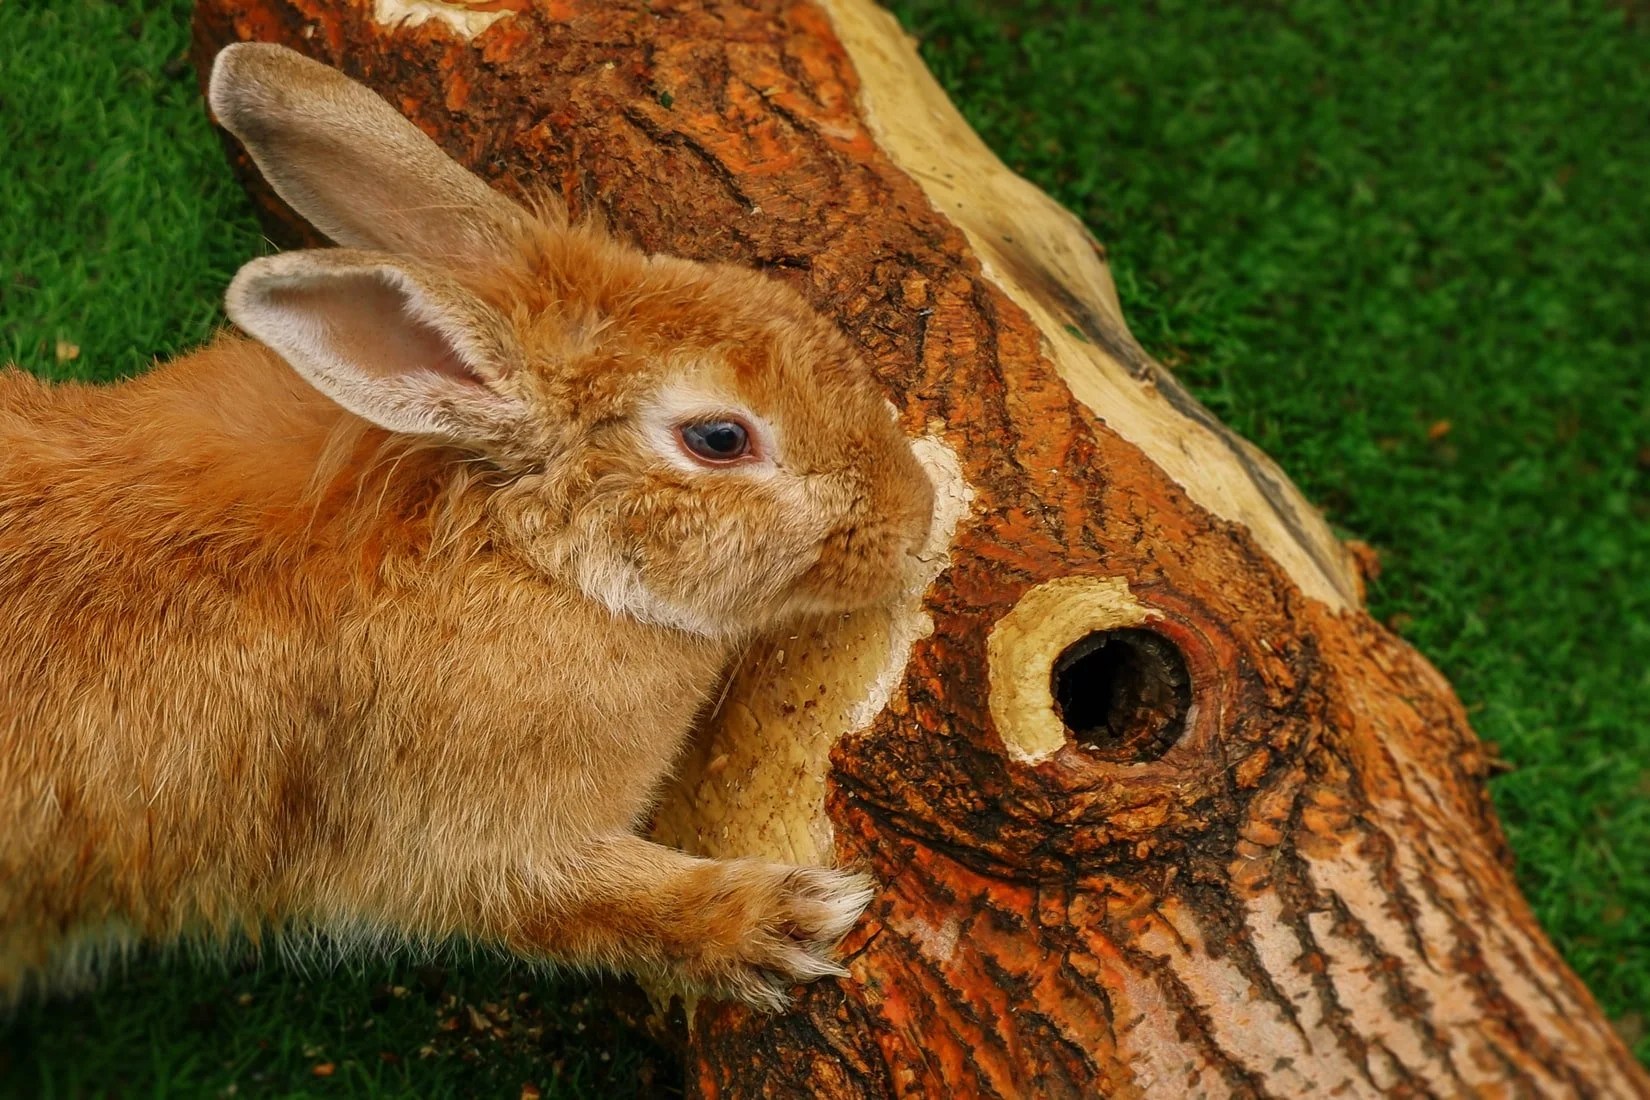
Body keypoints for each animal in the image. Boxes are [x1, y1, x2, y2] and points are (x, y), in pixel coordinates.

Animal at [0, 42, 935, 1011]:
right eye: (719, 439)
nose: (916, 521)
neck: (522, 550)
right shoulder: (450, 826)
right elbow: (562, 900)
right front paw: (786, 922)